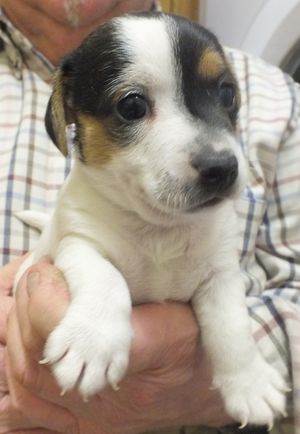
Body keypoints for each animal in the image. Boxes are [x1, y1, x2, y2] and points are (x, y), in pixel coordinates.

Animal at [15, 11, 288, 428]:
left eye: (227, 93)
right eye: (131, 106)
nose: (222, 168)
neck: (161, 228)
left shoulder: (221, 274)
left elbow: (232, 325)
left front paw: (250, 382)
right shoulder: (78, 244)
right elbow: (107, 277)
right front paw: (93, 342)